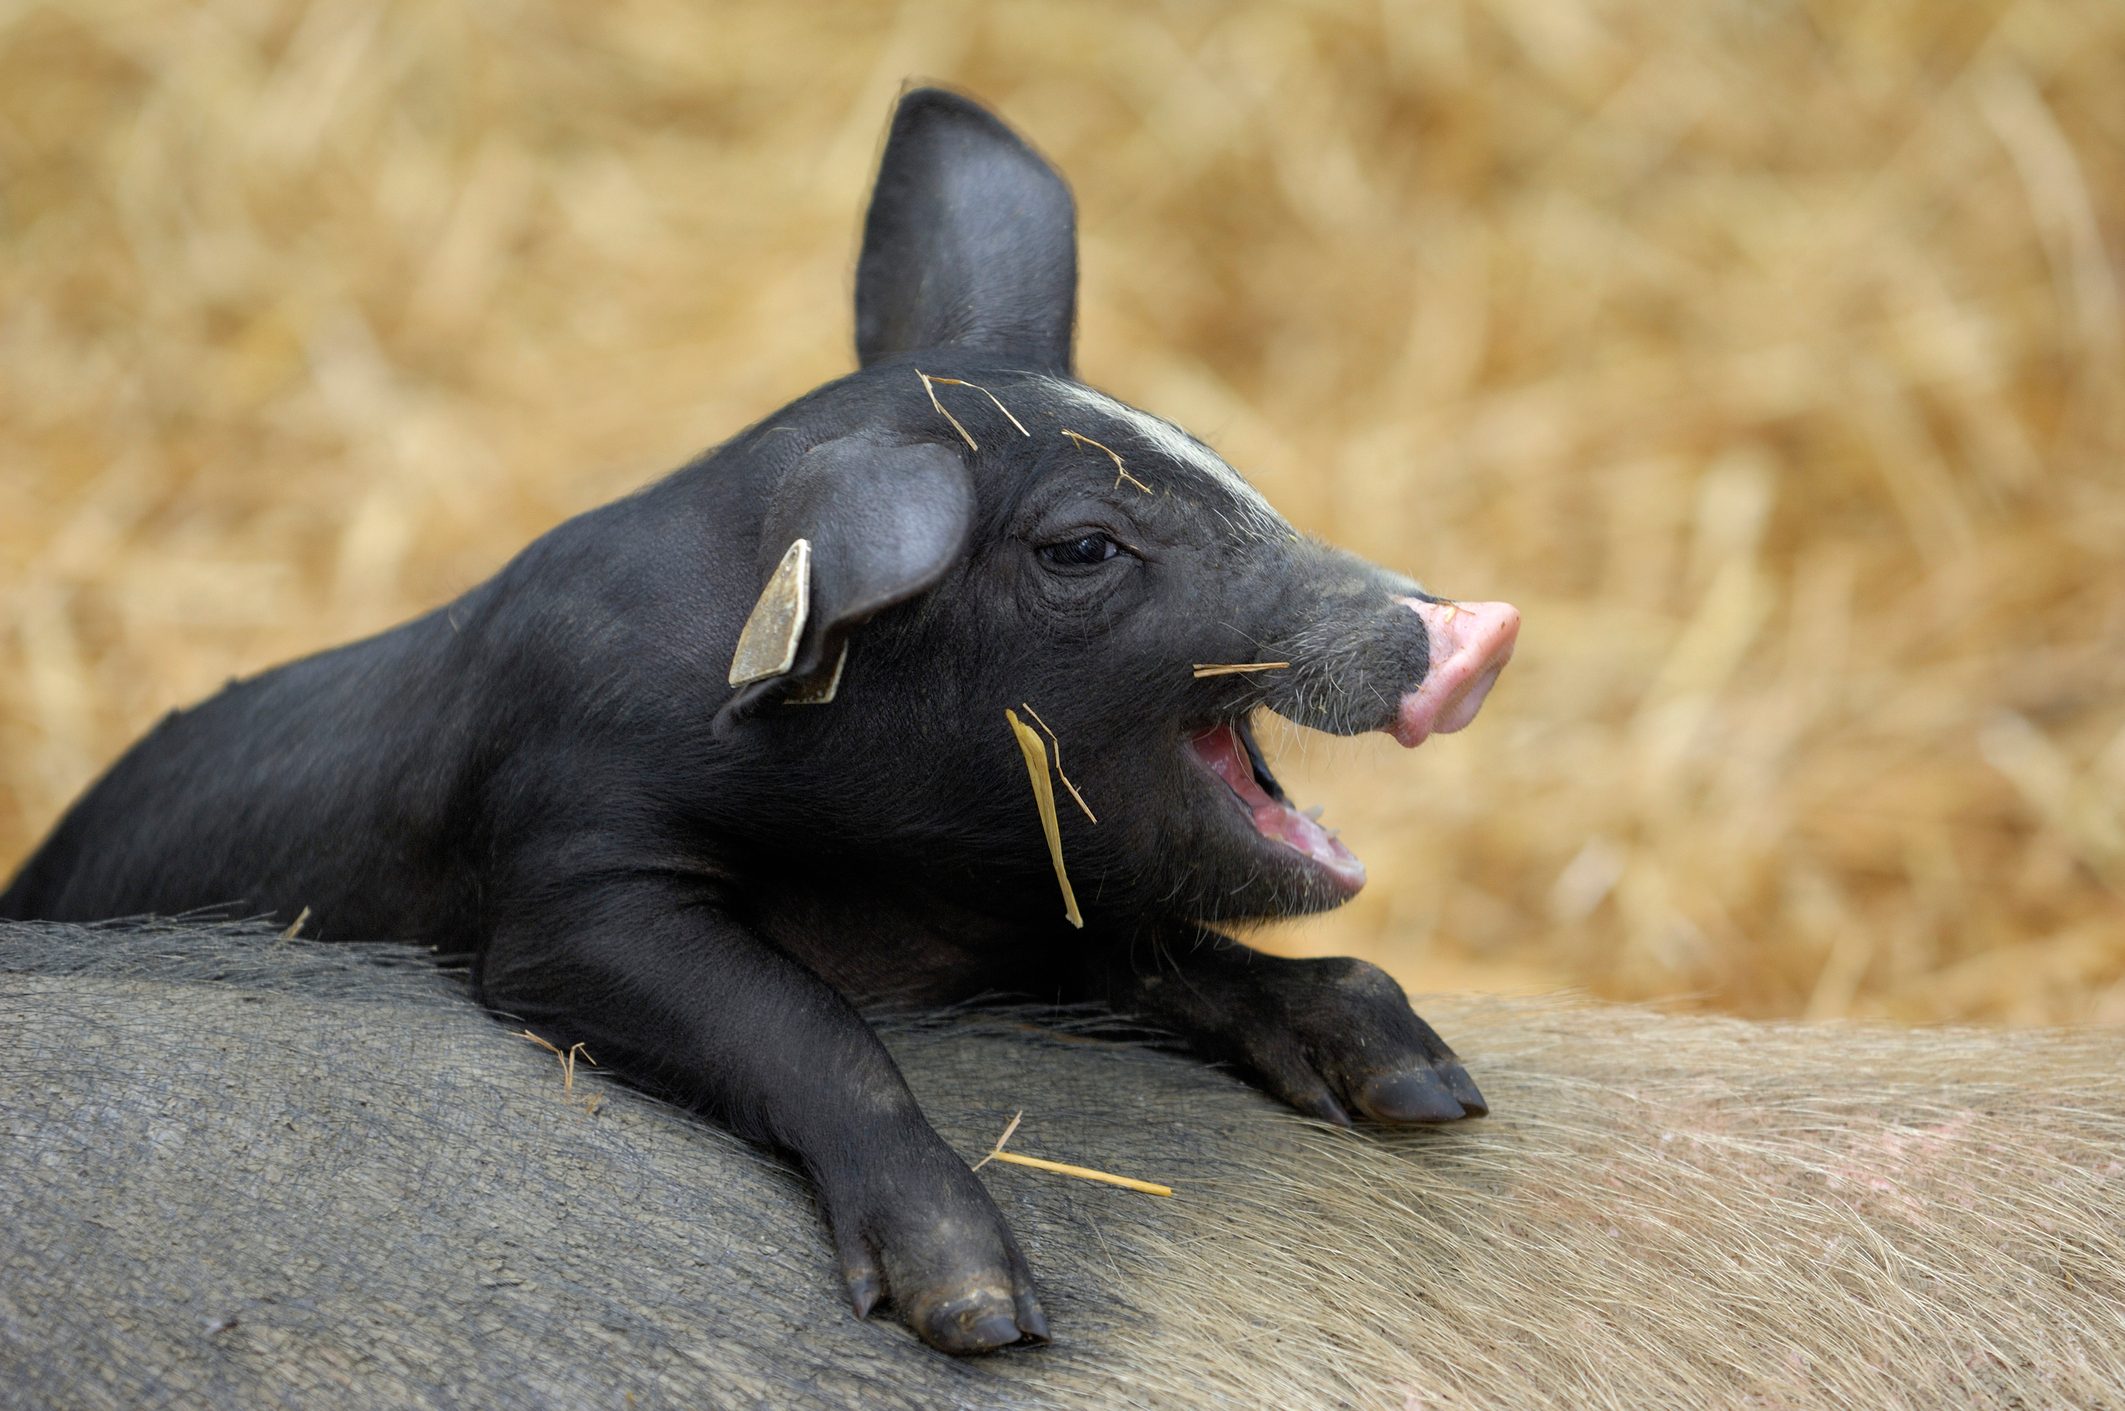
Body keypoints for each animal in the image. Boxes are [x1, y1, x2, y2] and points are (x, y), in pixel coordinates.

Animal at [0, 88, 1519, 1353]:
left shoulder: (1020, 913)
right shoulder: (571, 871)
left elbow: (1173, 950)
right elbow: (802, 1021)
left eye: (1219, 461)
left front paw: (1426, 1087)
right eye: (1083, 547)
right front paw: (983, 1314)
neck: (887, 874)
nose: (1469, 627)